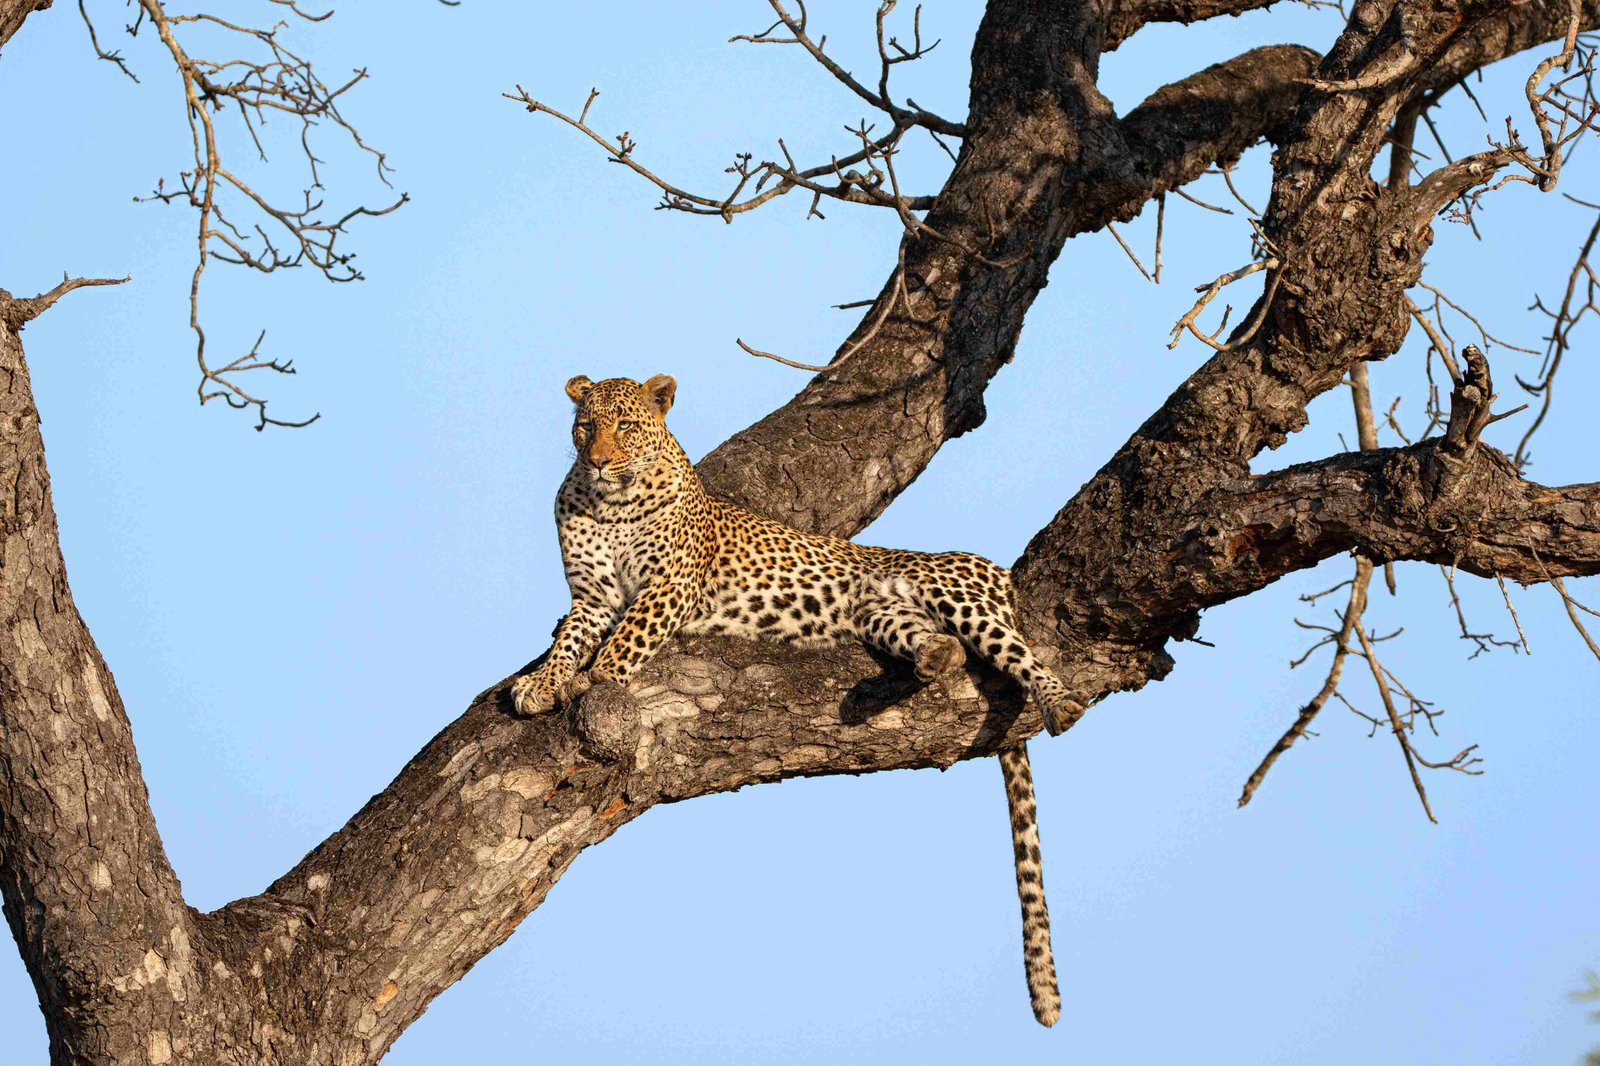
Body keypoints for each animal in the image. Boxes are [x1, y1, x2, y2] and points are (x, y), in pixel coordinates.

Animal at [512, 373, 1080, 1027]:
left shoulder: (666, 588)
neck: (609, 506)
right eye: (586, 426)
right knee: (948, 650)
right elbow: (567, 641)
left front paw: (592, 679)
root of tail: (996, 573)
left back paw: (1061, 702)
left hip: (956, 594)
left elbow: (624, 642)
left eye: (625, 426)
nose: (599, 460)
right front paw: (541, 683)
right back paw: (936, 660)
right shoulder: (591, 599)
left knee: (1023, 654)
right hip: (884, 614)